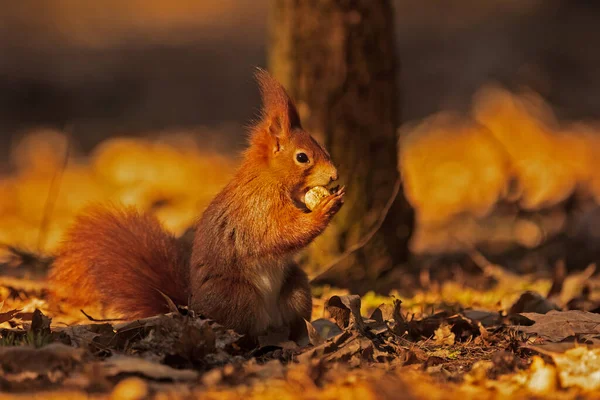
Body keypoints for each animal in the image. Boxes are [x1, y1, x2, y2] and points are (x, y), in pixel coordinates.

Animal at [48, 70, 344, 340]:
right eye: (302, 157)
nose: (334, 175)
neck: (270, 178)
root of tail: (194, 310)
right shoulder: (257, 208)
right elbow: (279, 232)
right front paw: (324, 210)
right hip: (238, 296)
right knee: (244, 330)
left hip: (296, 288)